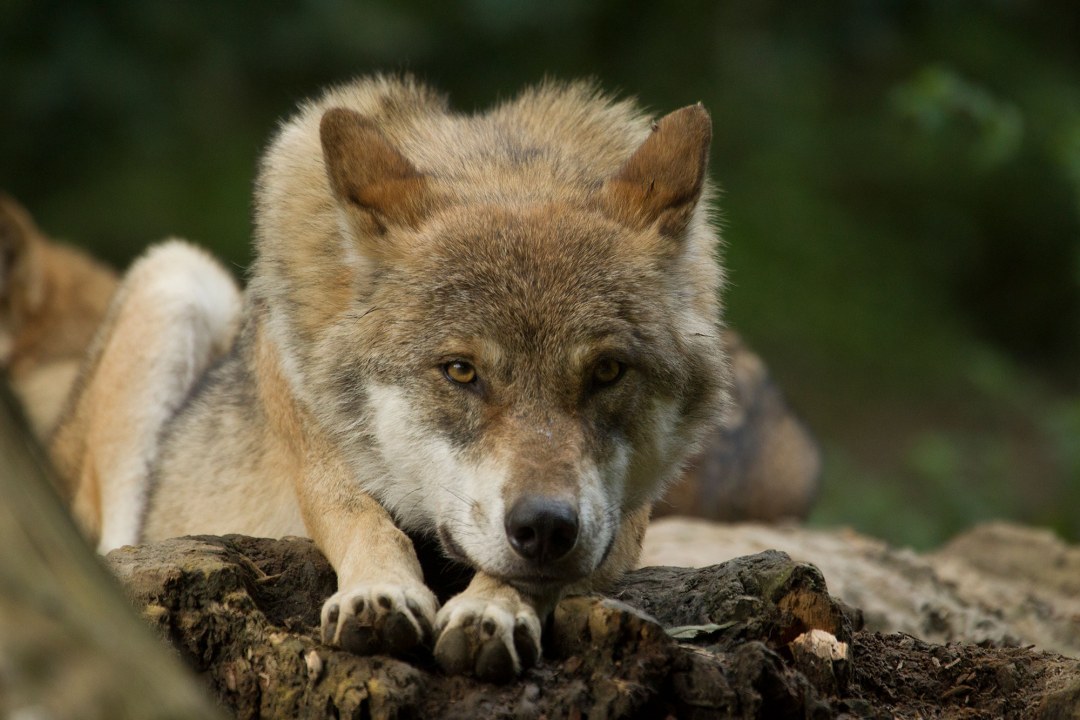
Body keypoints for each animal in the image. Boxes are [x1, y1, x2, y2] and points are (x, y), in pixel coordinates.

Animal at [51, 75, 728, 680]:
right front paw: (379, 594)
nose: (544, 527)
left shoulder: (620, 523)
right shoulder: (313, 446)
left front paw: (493, 610)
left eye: (608, 371)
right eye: (461, 371)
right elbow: (361, 517)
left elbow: (543, 572)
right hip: (176, 280)